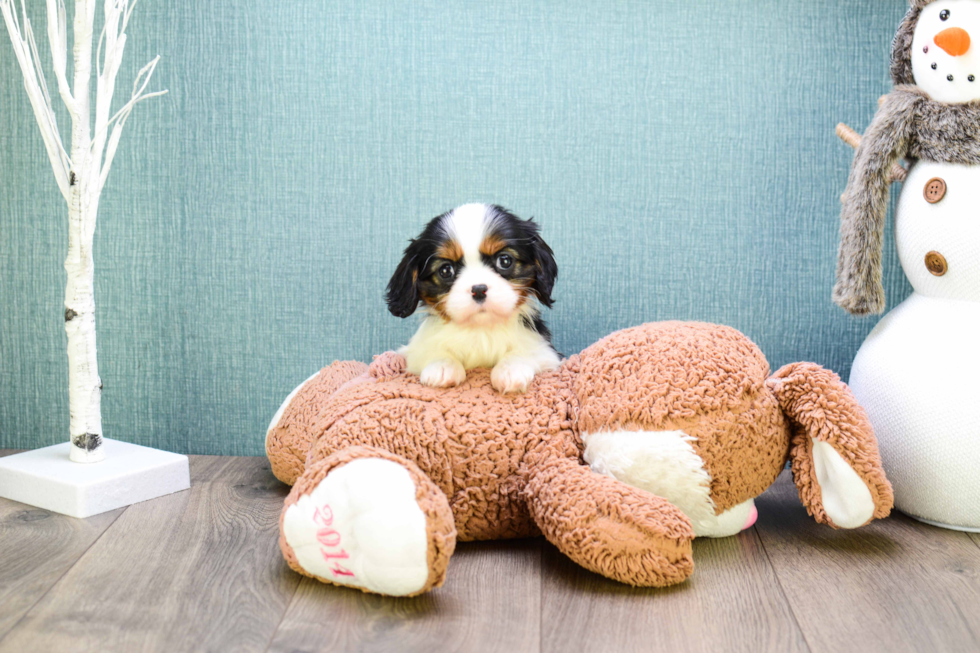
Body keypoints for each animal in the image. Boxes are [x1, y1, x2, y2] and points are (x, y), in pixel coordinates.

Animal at [388, 202, 564, 392]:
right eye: (446, 270)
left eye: (504, 261)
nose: (479, 289)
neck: (480, 330)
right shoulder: (413, 352)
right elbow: (431, 351)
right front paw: (442, 366)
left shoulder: (546, 351)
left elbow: (524, 351)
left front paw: (510, 370)